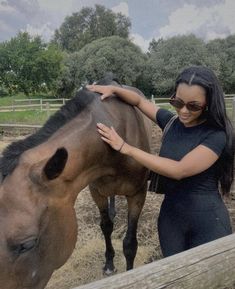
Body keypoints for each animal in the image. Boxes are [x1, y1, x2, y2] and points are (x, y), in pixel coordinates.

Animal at [0, 77, 152, 286]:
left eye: (27, 244)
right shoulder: (97, 192)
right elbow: (106, 226)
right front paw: (109, 264)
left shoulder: (138, 194)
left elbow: (130, 243)